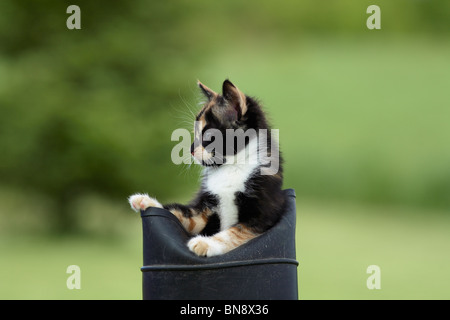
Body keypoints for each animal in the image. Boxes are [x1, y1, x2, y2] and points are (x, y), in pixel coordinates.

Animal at [128, 80, 284, 258]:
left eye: (209, 135)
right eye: (195, 132)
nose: (190, 149)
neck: (231, 165)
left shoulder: (264, 213)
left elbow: (236, 232)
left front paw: (206, 243)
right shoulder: (204, 209)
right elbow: (187, 215)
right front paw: (147, 201)